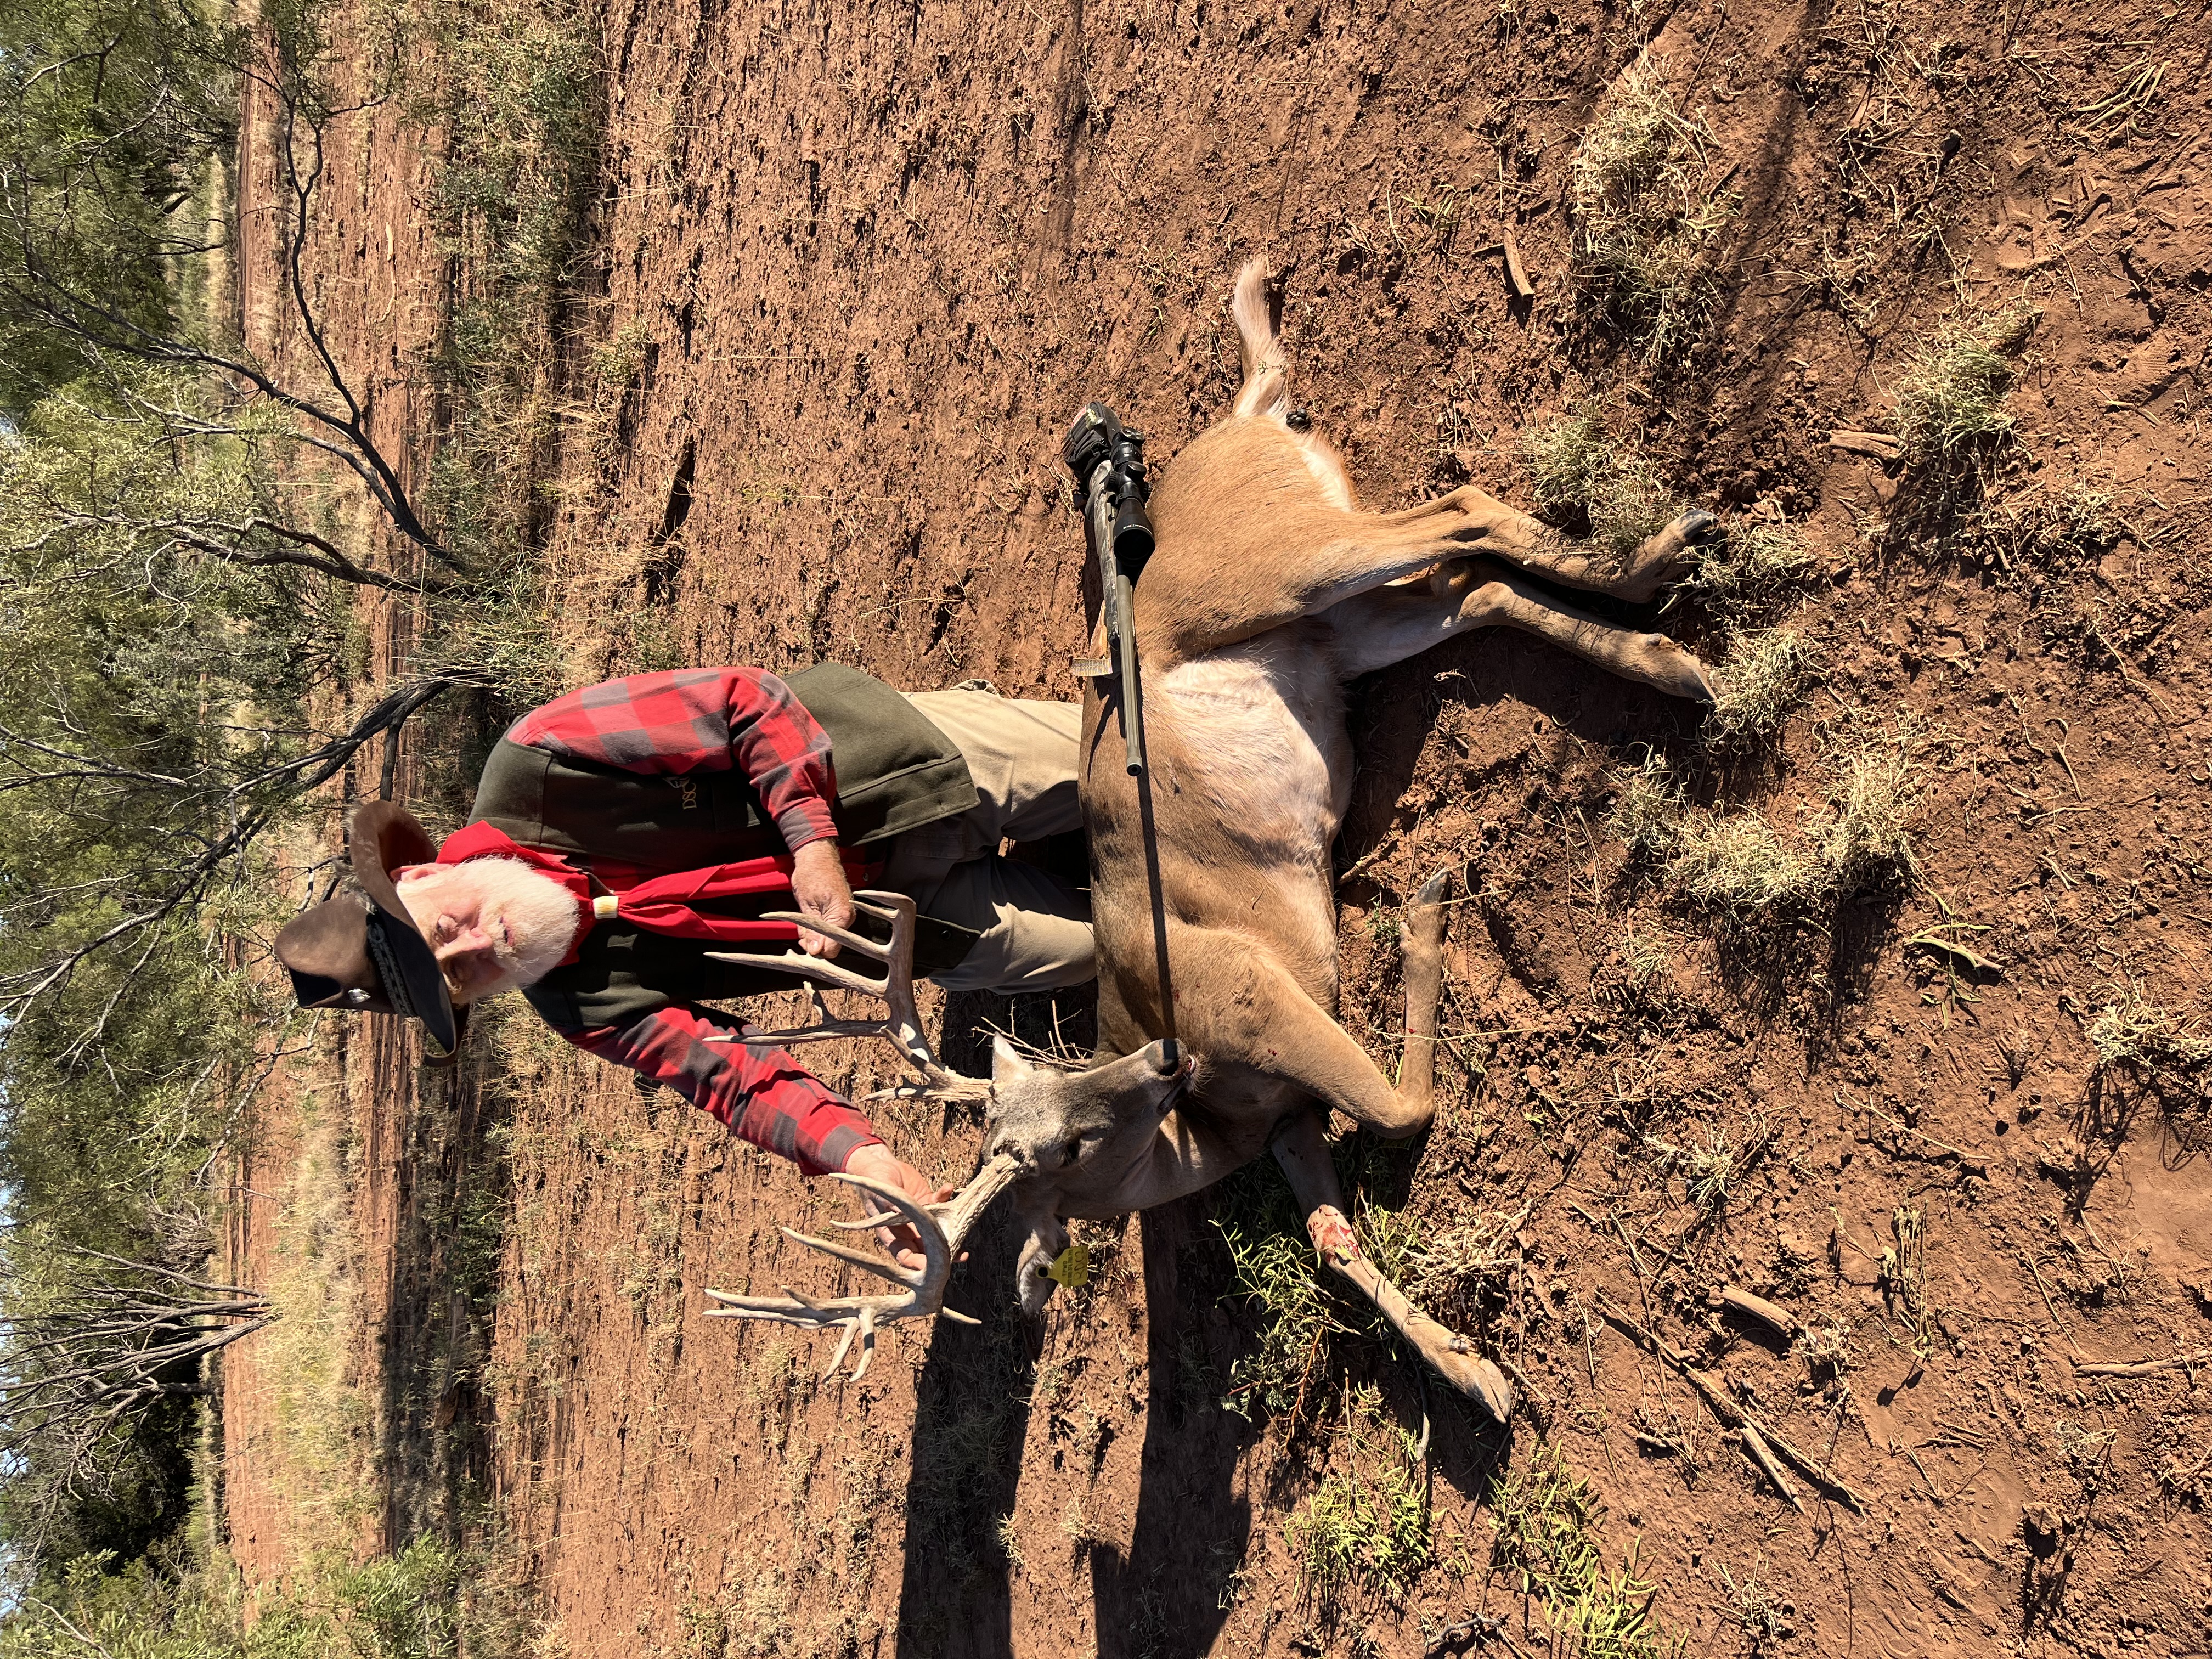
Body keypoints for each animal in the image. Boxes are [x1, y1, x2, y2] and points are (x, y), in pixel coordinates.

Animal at [706, 259, 1720, 1423]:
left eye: (1070, 1136)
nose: (1164, 1056)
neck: (1209, 1114)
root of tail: (1236, 426)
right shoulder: (1282, 1122)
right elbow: (1331, 1238)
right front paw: (1474, 1372)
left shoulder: (1256, 997)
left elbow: (1401, 1106)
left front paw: (1423, 912)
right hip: (1340, 632)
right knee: (1474, 590)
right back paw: (1669, 655)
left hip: (1284, 565)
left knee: (1457, 515)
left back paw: (1666, 561)